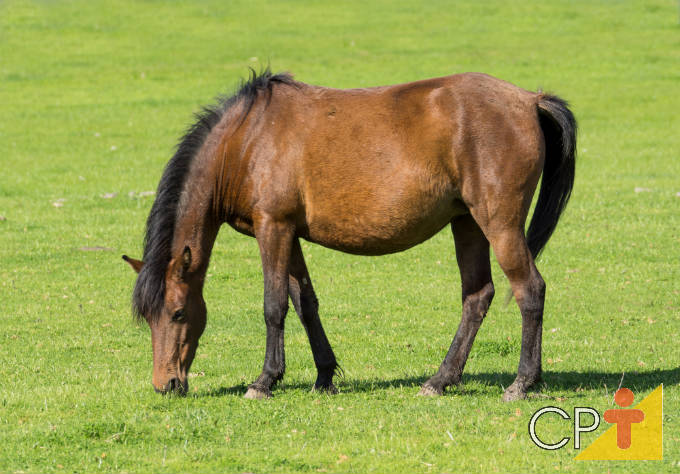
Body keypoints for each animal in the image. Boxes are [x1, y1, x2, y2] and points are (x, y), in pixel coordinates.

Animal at [122, 69, 572, 400]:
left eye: (178, 313)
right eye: (148, 317)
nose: (166, 385)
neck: (247, 140)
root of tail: (528, 99)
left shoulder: (273, 228)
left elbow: (274, 305)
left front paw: (265, 381)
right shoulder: (289, 234)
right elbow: (304, 302)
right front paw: (324, 376)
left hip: (499, 223)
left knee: (529, 290)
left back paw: (521, 383)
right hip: (468, 223)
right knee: (477, 296)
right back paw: (441, 380)